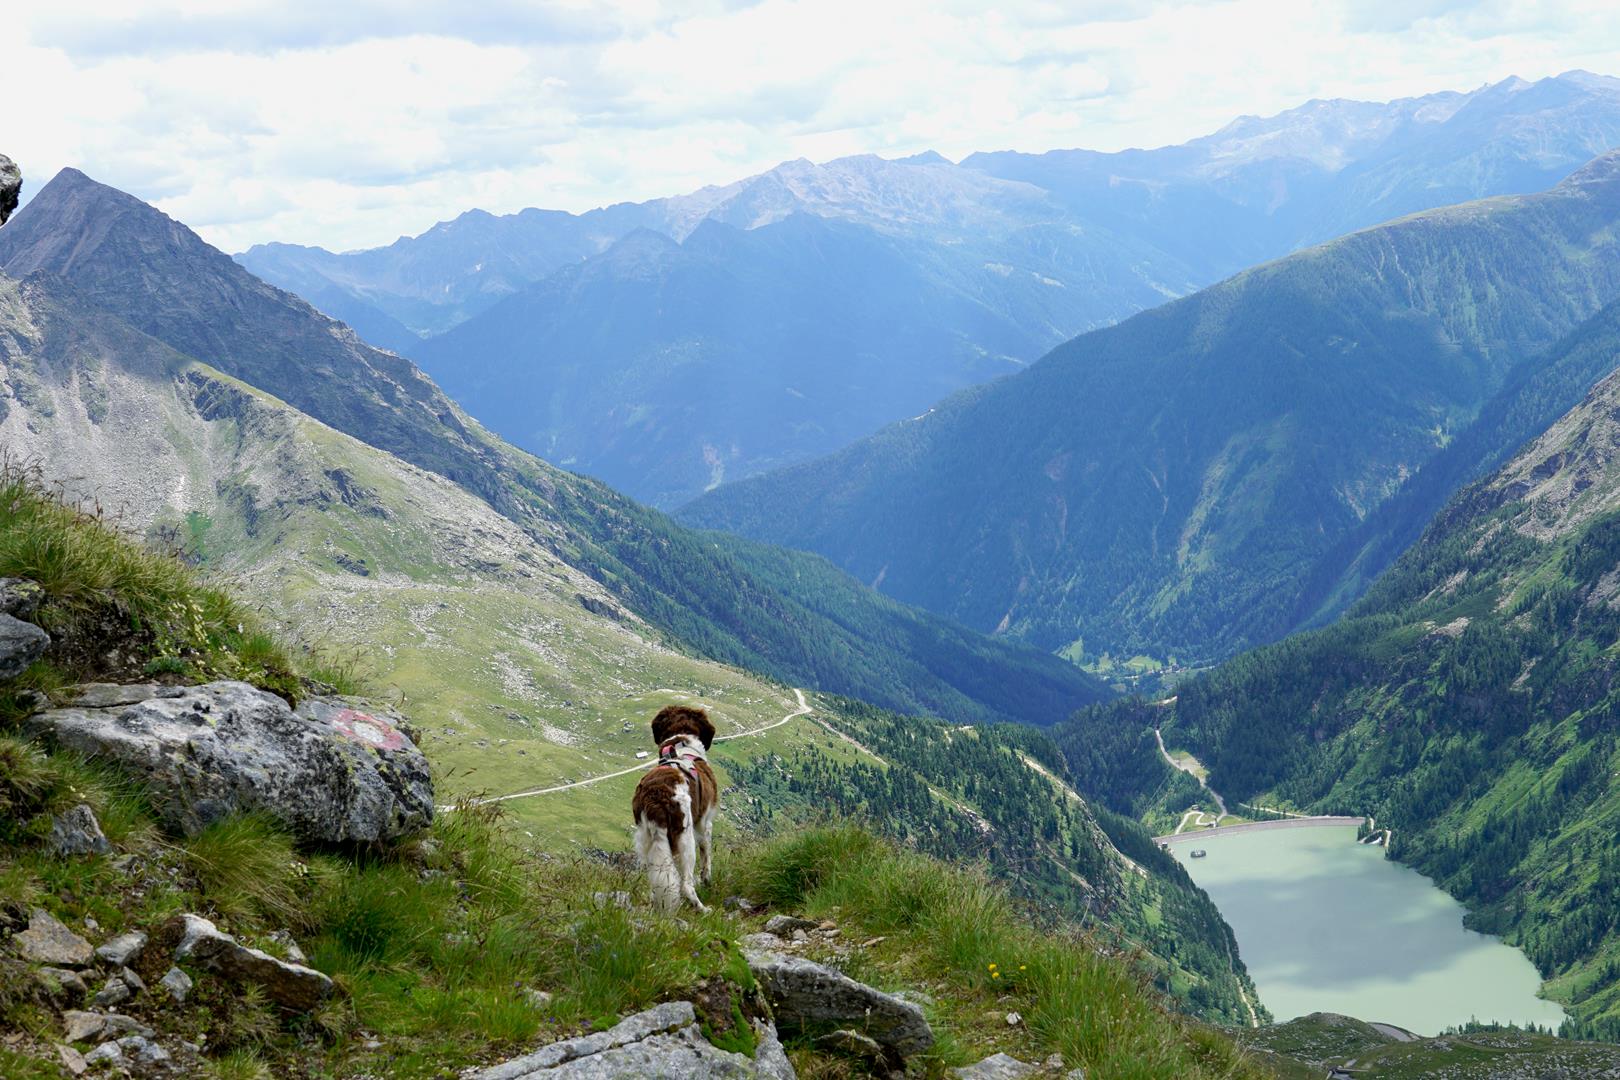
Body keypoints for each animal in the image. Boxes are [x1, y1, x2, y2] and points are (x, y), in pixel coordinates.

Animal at [628, 702, 719, 913]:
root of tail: (654, 796)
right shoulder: (704, 824)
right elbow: (707, 859)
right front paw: (707, 881)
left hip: (644, 840)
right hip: (686, 837)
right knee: (686, 884)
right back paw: (702, 909)